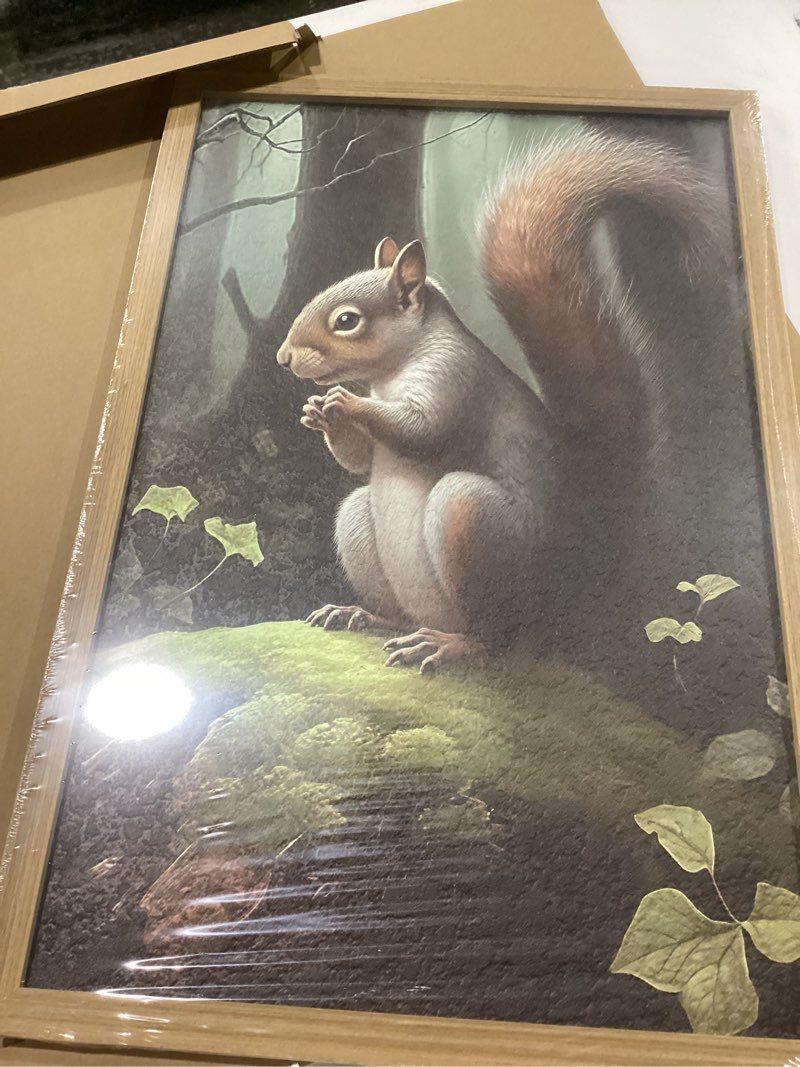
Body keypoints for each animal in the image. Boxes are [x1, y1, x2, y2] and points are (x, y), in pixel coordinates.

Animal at [275, 130, 722, 672]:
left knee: (498, 636)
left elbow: (424, 432)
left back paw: (451, 644)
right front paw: (321, 416)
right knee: (393, 597)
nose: (282, 357)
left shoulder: (455, 376)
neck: (395, 371)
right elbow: (361, 461)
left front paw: (344, 404)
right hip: (360, 526)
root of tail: (569, 582)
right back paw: (363, 614)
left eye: (346, 321)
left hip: (470, 521)